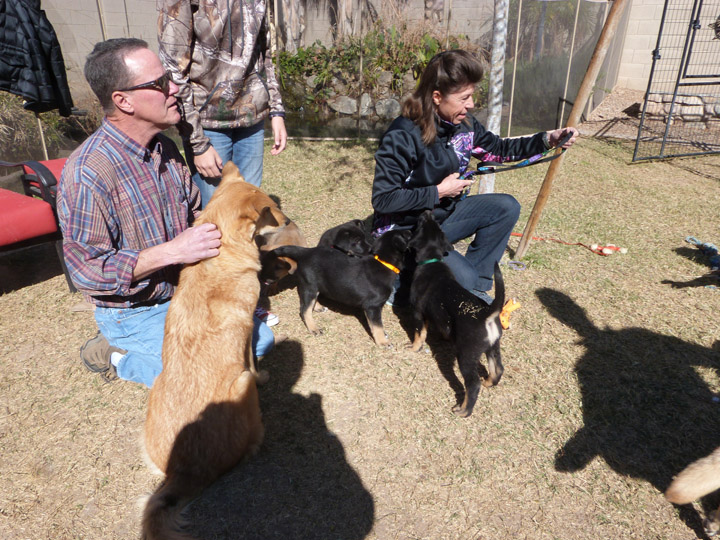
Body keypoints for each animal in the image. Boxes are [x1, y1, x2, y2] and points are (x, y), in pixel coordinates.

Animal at [142, 162, 288, 540]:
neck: (220, 257)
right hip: (241, 387)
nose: (288, 220)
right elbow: (254, 362)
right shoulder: (249, 331)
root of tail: (184, 472)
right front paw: (265, 375)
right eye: (271, 210)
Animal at [270, 229, 410, 346]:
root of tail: (306, 252)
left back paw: (318, 307)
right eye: (407, 234)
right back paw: (314, 328)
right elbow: (377, 325)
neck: (383, 262)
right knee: (304, 310)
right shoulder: (372, 306)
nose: (411, 231)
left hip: (314, 286)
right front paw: (383, 342)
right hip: (309, 285)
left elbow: (376, 324)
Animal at [408, 210, 504, 418]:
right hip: (493, 346)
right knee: (498, 369)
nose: (428, 211)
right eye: (435, 223)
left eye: (420, 224)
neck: (432, 260)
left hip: (466, 355)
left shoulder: (417, 312)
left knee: (472, 384)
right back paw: (488, 382)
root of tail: (487, 314)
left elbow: (419, 333)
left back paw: (463, 410)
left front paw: (413, 348)